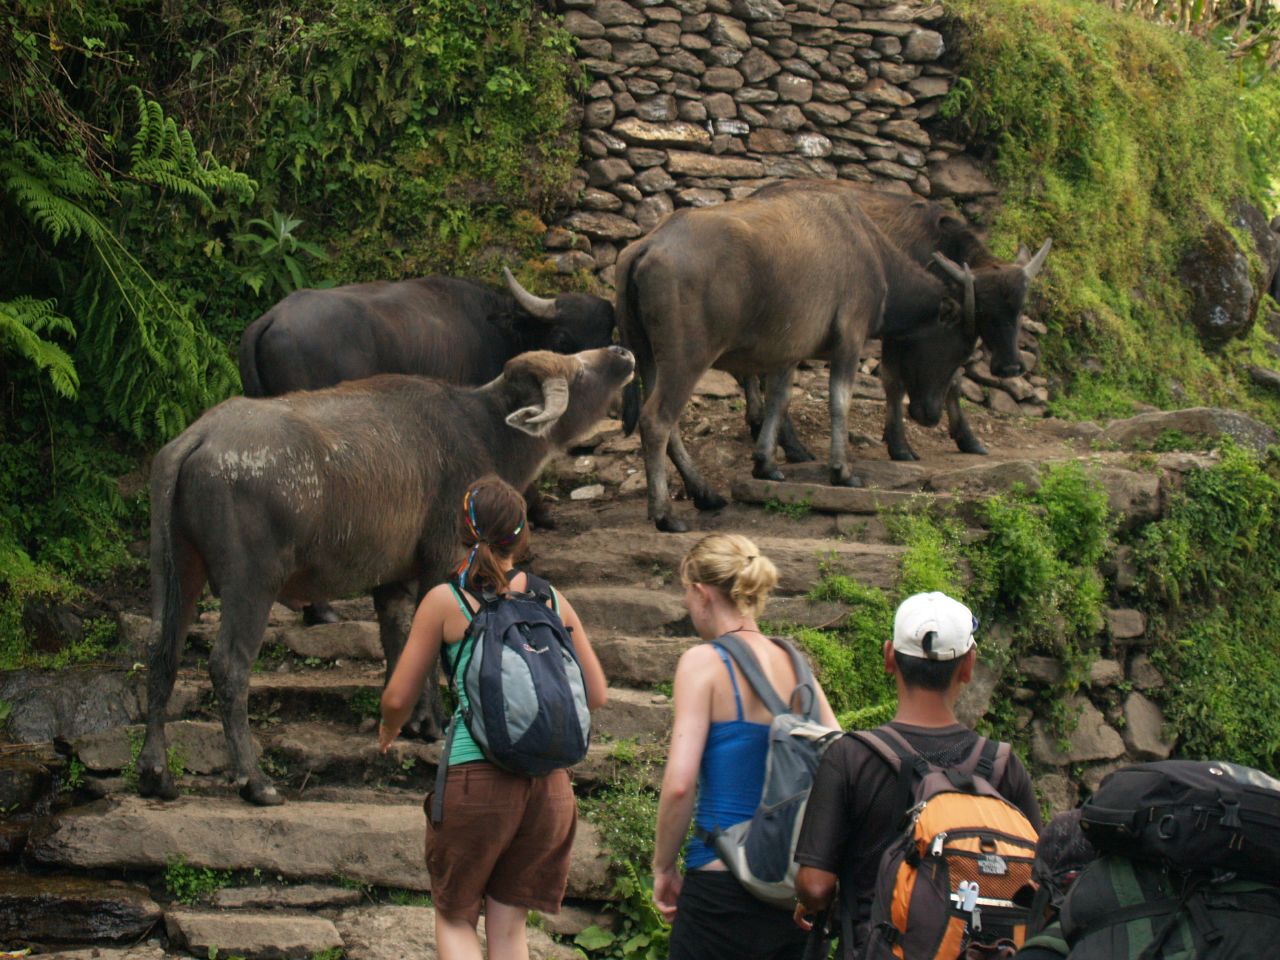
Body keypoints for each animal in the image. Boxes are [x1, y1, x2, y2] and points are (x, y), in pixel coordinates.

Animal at [138, 345, 634, 803]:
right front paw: (433, 722)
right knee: (228, 666)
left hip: (177, 569)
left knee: (161, 655)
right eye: (578, 371)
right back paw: (254, 781)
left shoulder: (392, 579)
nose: (623, 353)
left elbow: (400, 642)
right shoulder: (442, 561)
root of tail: (198, 437)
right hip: (251, 582)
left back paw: (156, 774)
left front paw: (408, 720)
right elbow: (431, 646)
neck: (483, 429)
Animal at [614, 180, 972, 535]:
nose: (930, 415)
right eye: (960, 348)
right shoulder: (850, 338)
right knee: (657, 420)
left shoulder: (787, 352)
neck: (869, 250)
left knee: (669, 424)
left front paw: (766, 463)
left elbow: (780, 399)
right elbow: (839, 401)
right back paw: (665, 514)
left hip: (648, 357)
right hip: (685, 360)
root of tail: (648, 245)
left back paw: (705, 494)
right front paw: (842, 471)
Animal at [742, 183, 1049, 465]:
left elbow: (952, 382)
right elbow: (896, 381)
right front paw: (900, 445)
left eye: (1020, 309)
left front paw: (968, 439)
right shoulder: (896, 332)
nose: (1010, 368)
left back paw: (760, 426)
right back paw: (793, 446)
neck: (934, 247)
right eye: (985, 310)